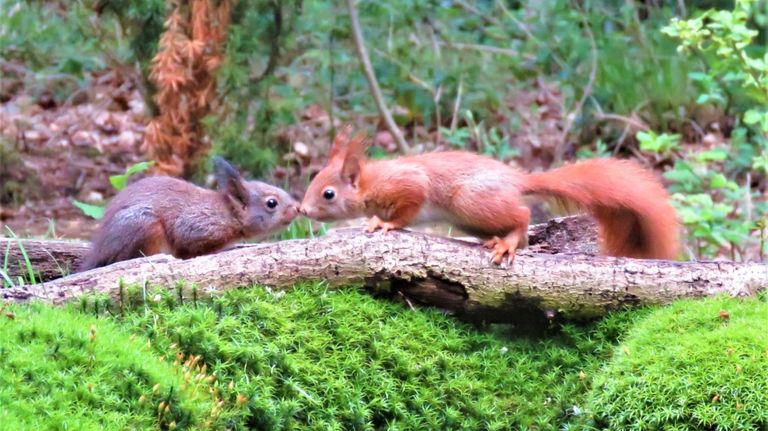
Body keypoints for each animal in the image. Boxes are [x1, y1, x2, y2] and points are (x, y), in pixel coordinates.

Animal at [80, 157, 296, 270]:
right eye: (271, 203)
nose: (296, 209)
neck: (227, 213)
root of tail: (99, 250)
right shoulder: (198, 226)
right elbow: (188, 246)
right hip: (145, 227)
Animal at [298, 128, 680, 264]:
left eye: (328, 194)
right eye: (313, 179)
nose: (302, 210)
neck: (371, 182)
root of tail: (517, 181)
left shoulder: (408, 185)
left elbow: (407, 209)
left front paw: (384, 223)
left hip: (471, 201)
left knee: (522, 217)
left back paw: (508, 242)